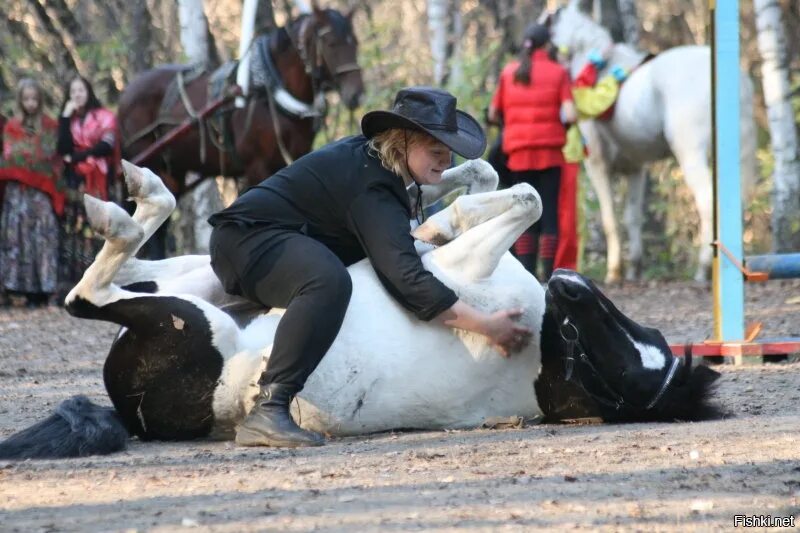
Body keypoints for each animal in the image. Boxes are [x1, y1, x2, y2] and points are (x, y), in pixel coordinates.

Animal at [0, 158, 720, 458]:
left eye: (610, 358)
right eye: (629, 335)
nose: (568, 284)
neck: (543, 352)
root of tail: (129, 409)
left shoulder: (466, 270)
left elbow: (525, 198)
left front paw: (441, 218)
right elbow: (495, 182)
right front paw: (439, 213)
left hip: (196, 320)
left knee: (90, 294)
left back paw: (123, 206)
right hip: (212, 292)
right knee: (154, 263)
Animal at [117, 5, 364, 196]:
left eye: (355, 42)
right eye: (330, 42)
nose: (356, 94)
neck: (268, 93)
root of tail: (126, 94)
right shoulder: (257, 167)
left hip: (173, 170)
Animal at [544, 1, 756, 282]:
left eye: (548, 23)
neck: (597, 69)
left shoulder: (598, 164)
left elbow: (610, 218)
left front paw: (614, 271)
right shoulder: (635, 169)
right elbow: (632, 217)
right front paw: (635, 268)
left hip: (690, 152)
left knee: (707, 203)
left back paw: (703, 269)